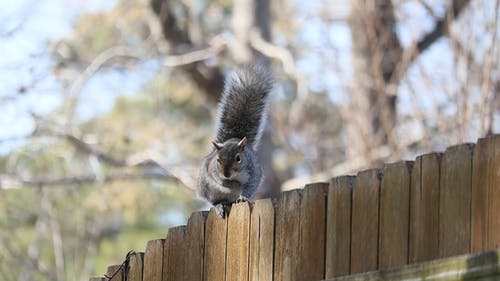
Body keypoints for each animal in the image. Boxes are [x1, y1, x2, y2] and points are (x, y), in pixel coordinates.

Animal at [197, 64, 274, 218]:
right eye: (218, 160)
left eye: (238, 158)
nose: (226, 174)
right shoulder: (211, 171)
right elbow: (219, 181)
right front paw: (230, 184)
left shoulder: (254, 171)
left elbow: (251, 185)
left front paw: (242, 195)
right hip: (208, 190)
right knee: (216, 201)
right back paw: (220, 205)